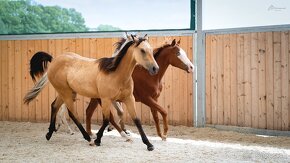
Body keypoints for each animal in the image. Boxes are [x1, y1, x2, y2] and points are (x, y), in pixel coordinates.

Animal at [23, 34, 160, 152]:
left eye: (151, 50)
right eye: (142, 50)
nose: (155, 69)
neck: (115, 74)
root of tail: (54, 60)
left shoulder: (128, 98)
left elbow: (136, 120)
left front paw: (149, 144)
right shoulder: (105, 99)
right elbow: (106, 119)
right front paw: (98, 139)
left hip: (67, 92)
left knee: (54, 106)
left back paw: (49, 134)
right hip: (66, 92)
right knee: (72, 113)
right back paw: (88, 138)